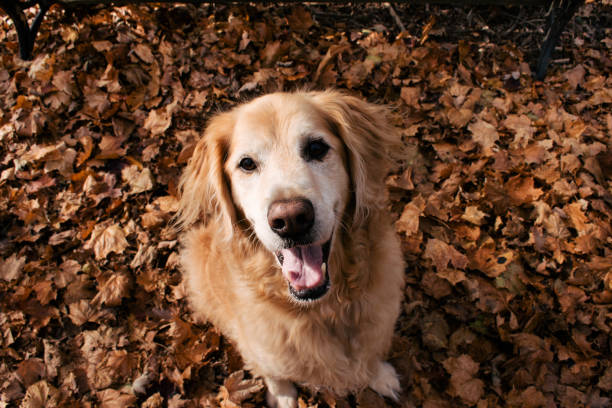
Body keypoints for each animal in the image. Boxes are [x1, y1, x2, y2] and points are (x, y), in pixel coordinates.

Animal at [177, 91, 406, 406]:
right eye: (247, 164)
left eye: (316, 147)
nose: (291, 220)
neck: (322, 310)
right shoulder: (261, 349)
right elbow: (275, 375)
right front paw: (283, 397)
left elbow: (369, 356)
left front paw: (380, 376)